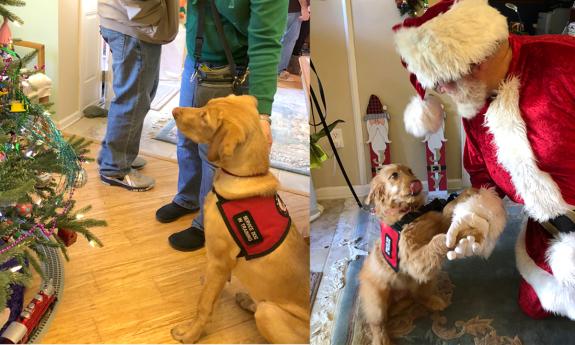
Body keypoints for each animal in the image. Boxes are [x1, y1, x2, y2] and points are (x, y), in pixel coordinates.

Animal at [170, 94, 310, 344]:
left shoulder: (219, 259)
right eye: (206, 104)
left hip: (268, 313)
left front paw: (191, 333)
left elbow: (204, 305)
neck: (245, 177)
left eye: (205, 117)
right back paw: (247, 300)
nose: (175, 111)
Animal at [362, 165, 506, 344]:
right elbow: (438, 239)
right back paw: (381, 339)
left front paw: (467, 194)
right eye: (394, 175)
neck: (408, 213)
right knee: (377, 323)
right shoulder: (413, 260)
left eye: (410, 171)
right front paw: (453, 237)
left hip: (426, 280)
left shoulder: (439, 222)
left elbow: (448, 208)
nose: (416, 182)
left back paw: (434, 301)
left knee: (419, 295)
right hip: (376, 301)